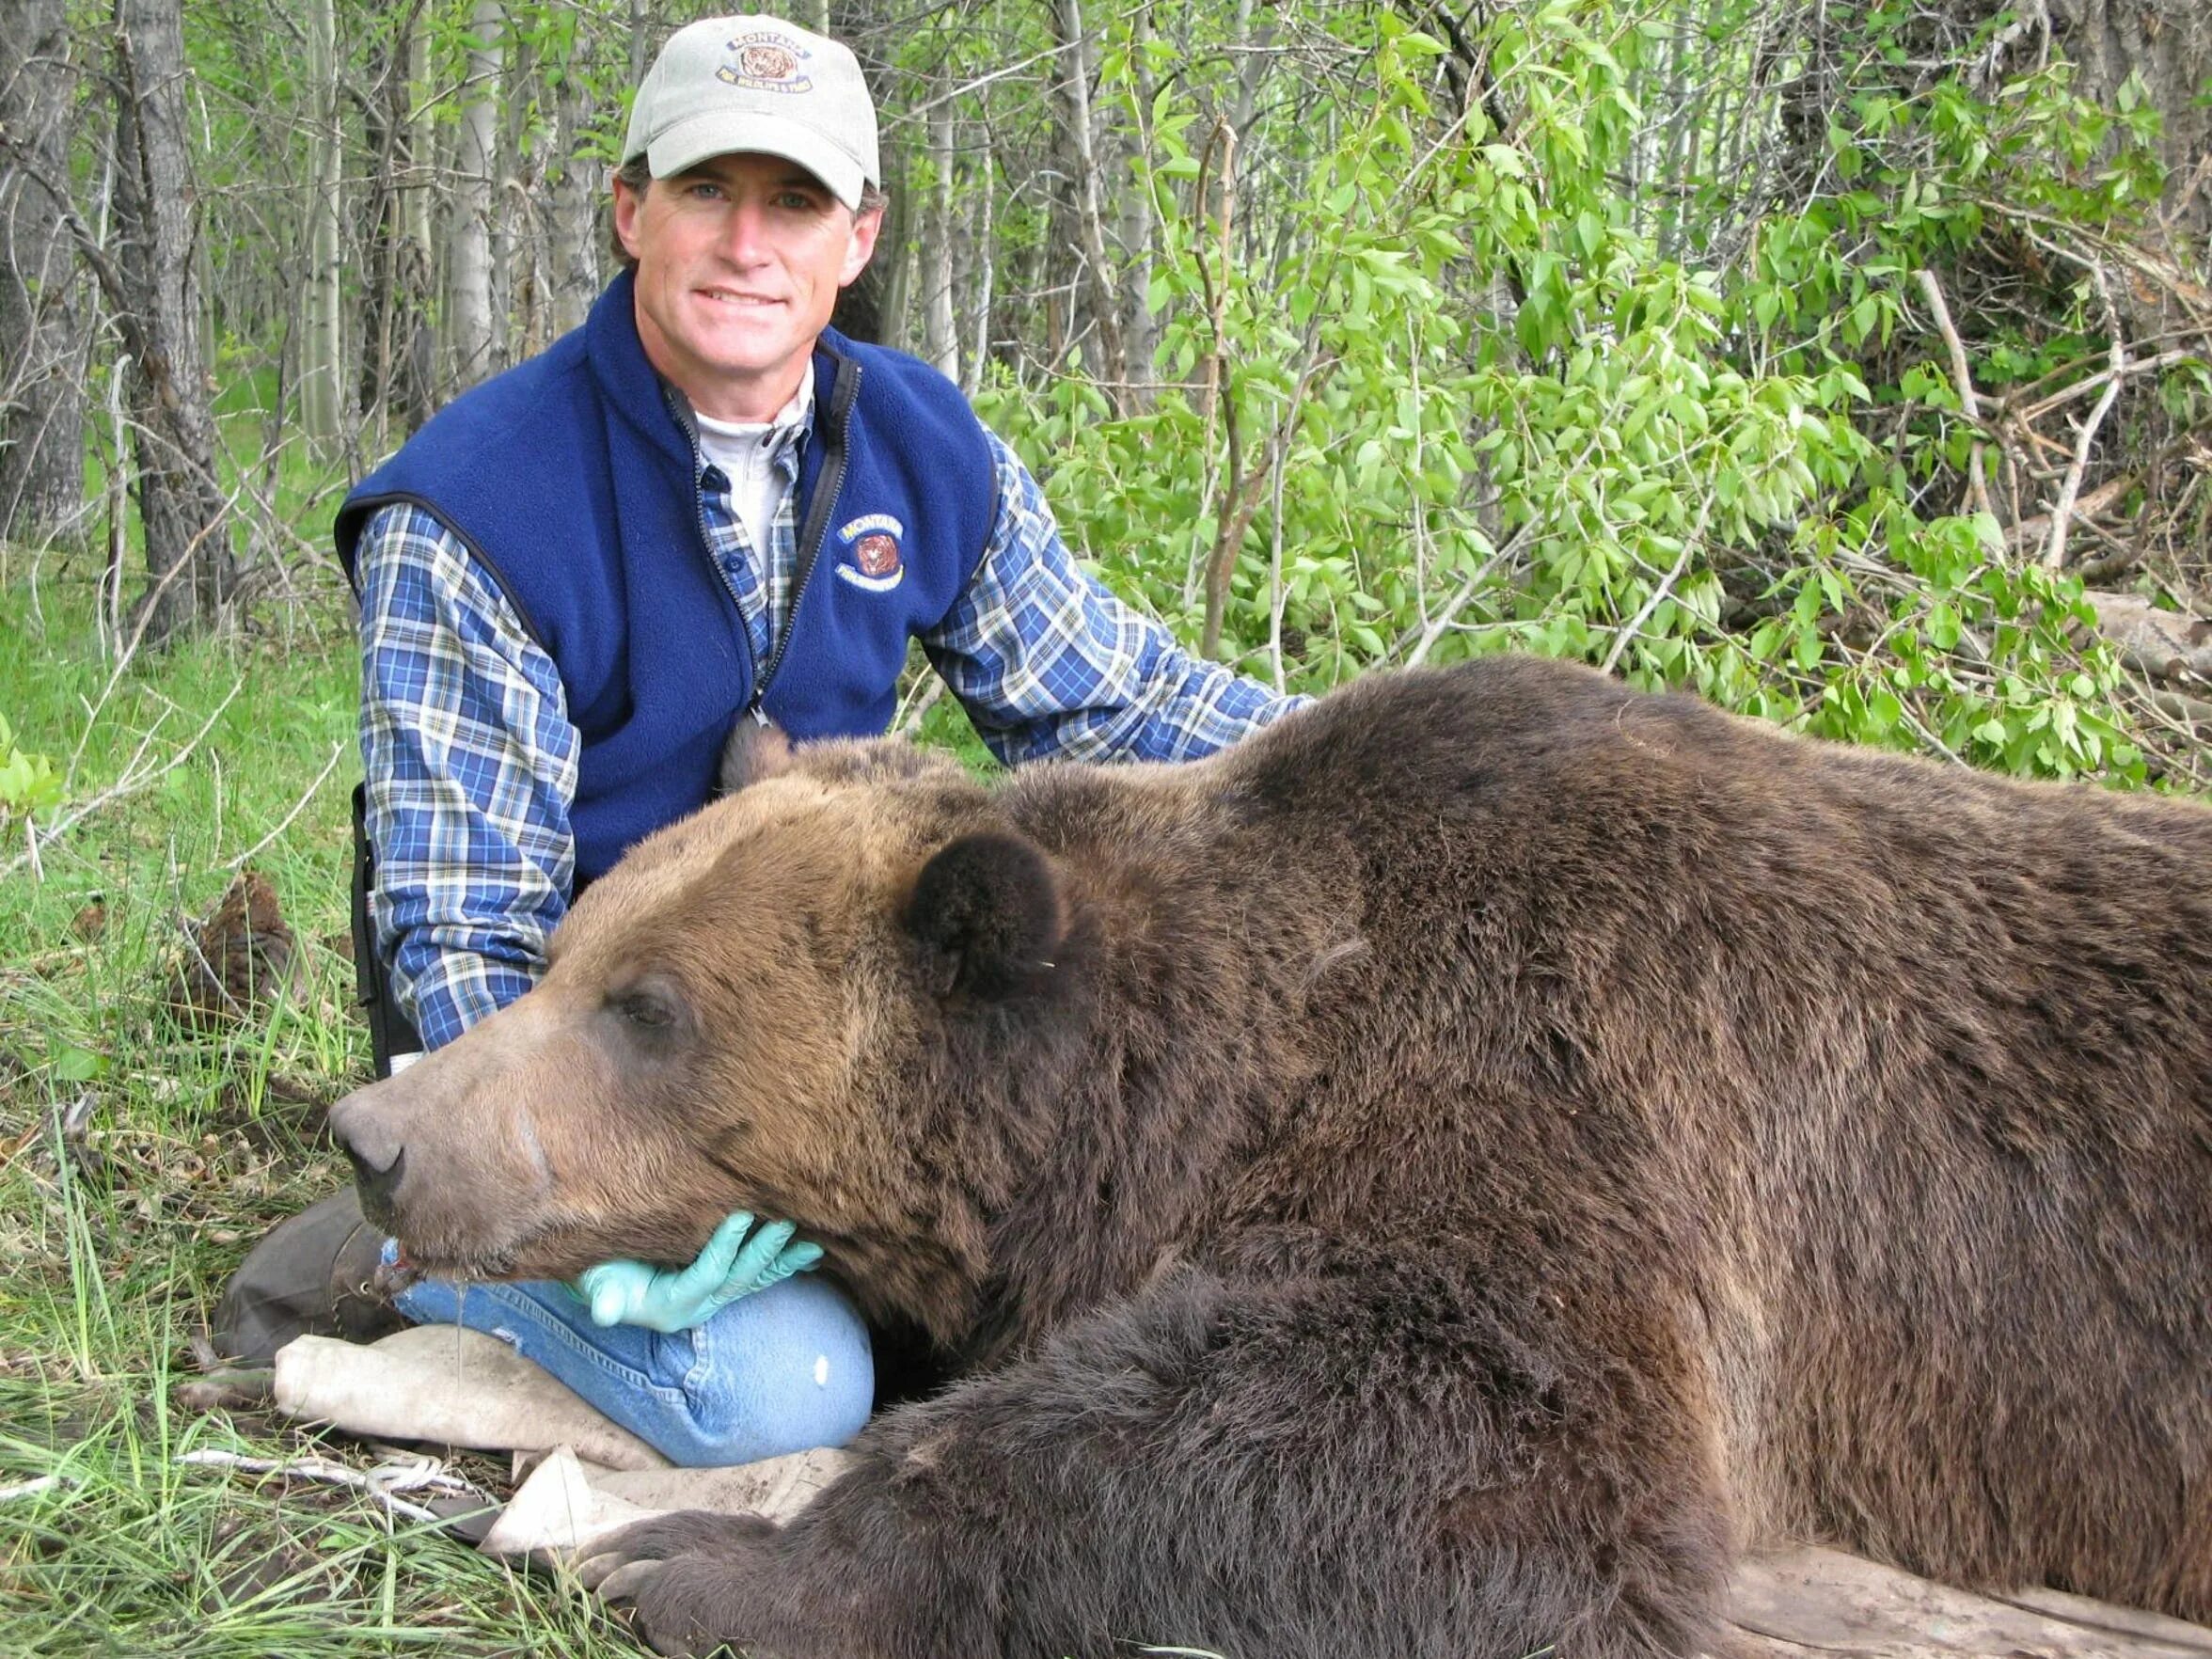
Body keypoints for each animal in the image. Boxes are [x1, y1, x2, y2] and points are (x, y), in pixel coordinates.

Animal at [327, 655, 2212, 1654]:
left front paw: (702, 1557)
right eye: (573, 939)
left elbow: (1499, 1443)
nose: (378, 1134)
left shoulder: (1585, 1100)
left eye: (647, 1009)